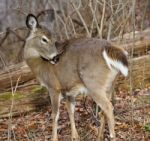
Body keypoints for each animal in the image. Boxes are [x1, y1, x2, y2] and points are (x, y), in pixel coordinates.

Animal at [24, 13, 128, 141]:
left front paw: (54, 138)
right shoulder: (68, 89)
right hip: (110, 84)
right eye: (44, 39)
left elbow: (55, 114)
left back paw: (112, 136)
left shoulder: (53, 86)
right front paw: (75, 136)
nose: (55, 58)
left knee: (108, 107)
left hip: (93, 83)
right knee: (104, 109)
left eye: (53, 39)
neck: (40, 64)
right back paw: (99, 137)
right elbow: (71, 110)